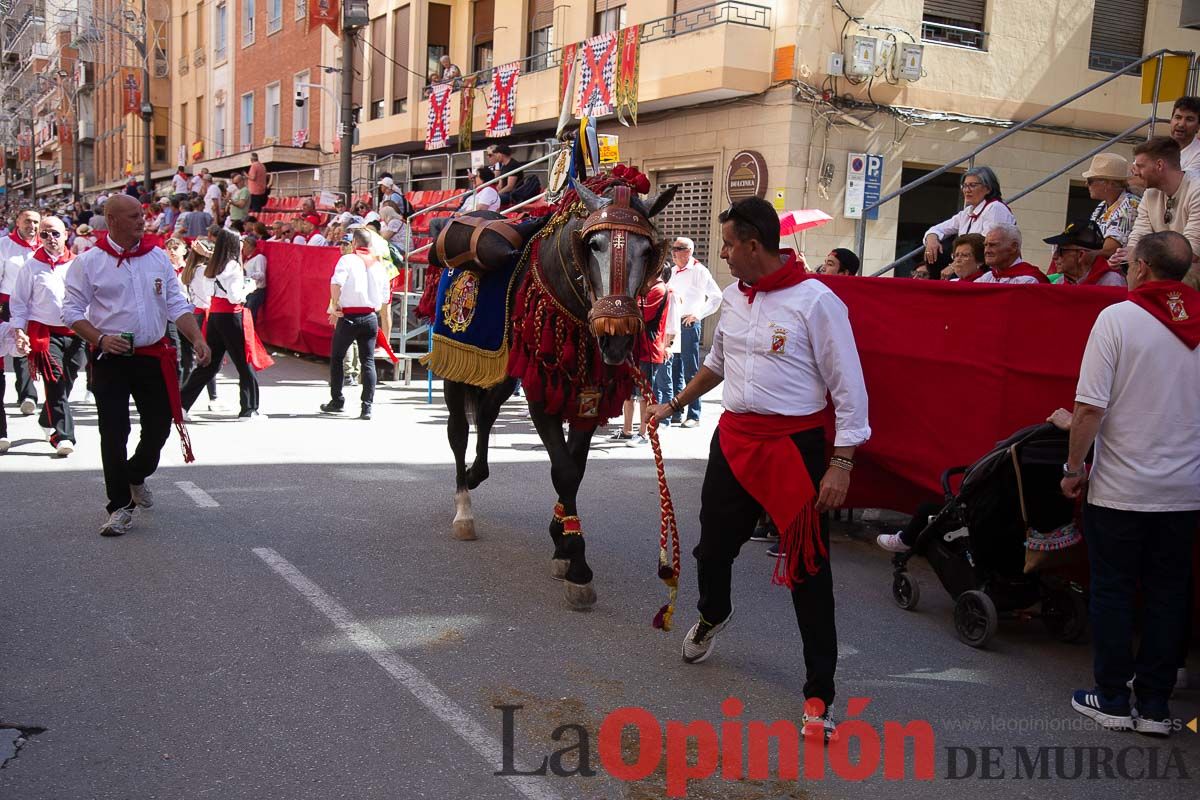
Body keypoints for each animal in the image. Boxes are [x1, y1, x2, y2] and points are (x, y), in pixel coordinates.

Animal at [424, 165, 676, 609]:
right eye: (593, 245)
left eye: (648, 251)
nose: (616, 339)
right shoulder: (543, 391)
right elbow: (564, 470)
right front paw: (576, 561)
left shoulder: (588, 394)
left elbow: (576, 467)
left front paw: (562, 540)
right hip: (456, 366)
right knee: (458, 431)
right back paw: (464, 507)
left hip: (506, 372)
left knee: (486, 414)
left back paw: (477, 472)